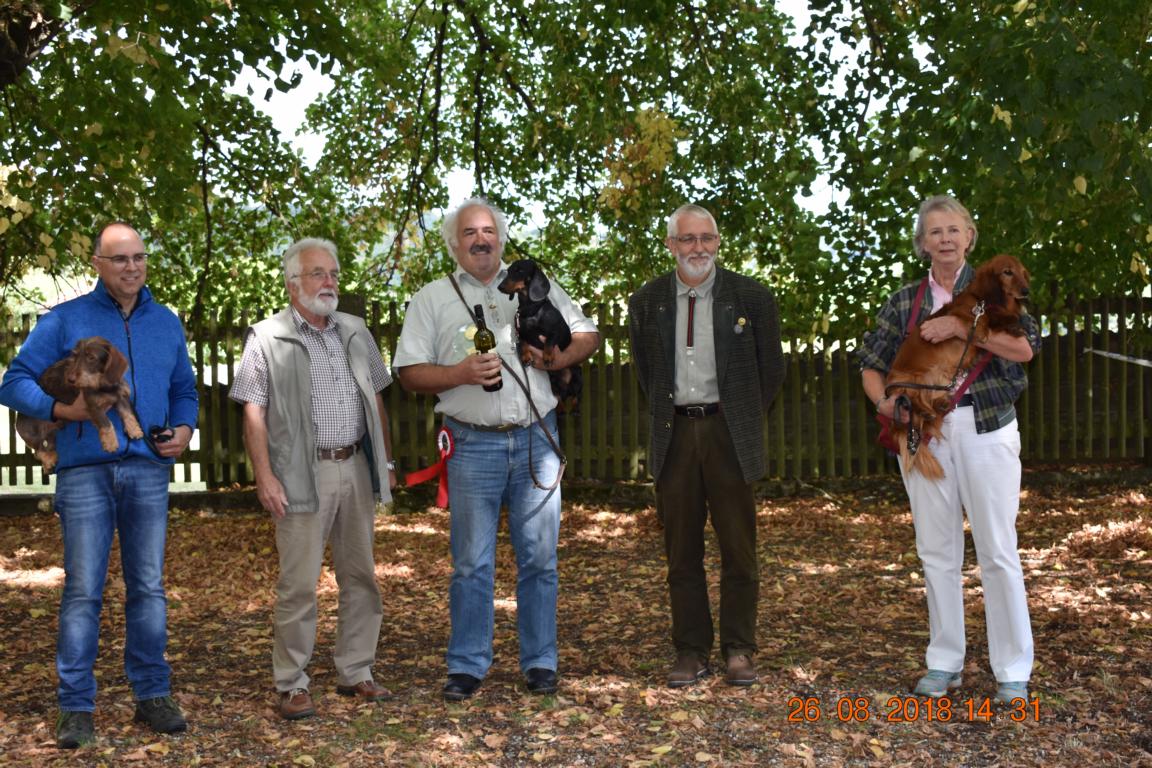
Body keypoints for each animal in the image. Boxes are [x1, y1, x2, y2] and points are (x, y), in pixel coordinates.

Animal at [15, 336, 144, 472]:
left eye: (91, 357)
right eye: (75, 356)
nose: (70, 379)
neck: (102, 385)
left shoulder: (120, 397)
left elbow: (128, 414)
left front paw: (135, 430)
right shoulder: (93, 406)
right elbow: (106, 423)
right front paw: (111, 443)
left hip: (53, 432)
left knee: (46, 445)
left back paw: (52, 457)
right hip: (32, 433)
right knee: (38, 450)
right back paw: (48, 462)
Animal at [496, 258, 583, 412]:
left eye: (520, 271)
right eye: (509, 271)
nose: (500, 287)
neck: (531, 310)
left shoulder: (556, 331)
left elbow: (549, 341)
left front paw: (547, 356)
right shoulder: (521, 334)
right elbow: (523, 343)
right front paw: (525, 357)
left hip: (578, 374)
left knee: (576, 396)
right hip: (554, 384)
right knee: (559, 398)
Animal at [885, 254, 1031, 479]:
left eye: (1023, 272)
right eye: (1007, 272)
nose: (1026, 291)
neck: (985, 300)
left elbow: (1004, 319)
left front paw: (1015, 325)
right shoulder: (964, 313)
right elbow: (979, 319)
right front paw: (984, 328)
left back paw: (939, 406)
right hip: (912, 379)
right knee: (914, 398)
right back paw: (925, 410)